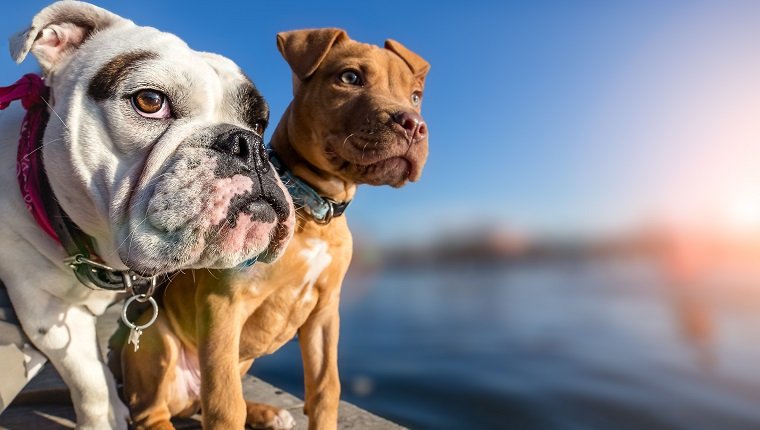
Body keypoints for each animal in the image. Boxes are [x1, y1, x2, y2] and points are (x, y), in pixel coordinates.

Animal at [118, 28, 428, 428]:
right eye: (349, 77)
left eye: (416, 95)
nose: (413, 124)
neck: (314, 209)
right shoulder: (222, 306)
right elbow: (225, 405)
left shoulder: (325, 314)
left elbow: (326, 388)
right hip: (155, 339)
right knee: (155, 411)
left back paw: (266, 412)